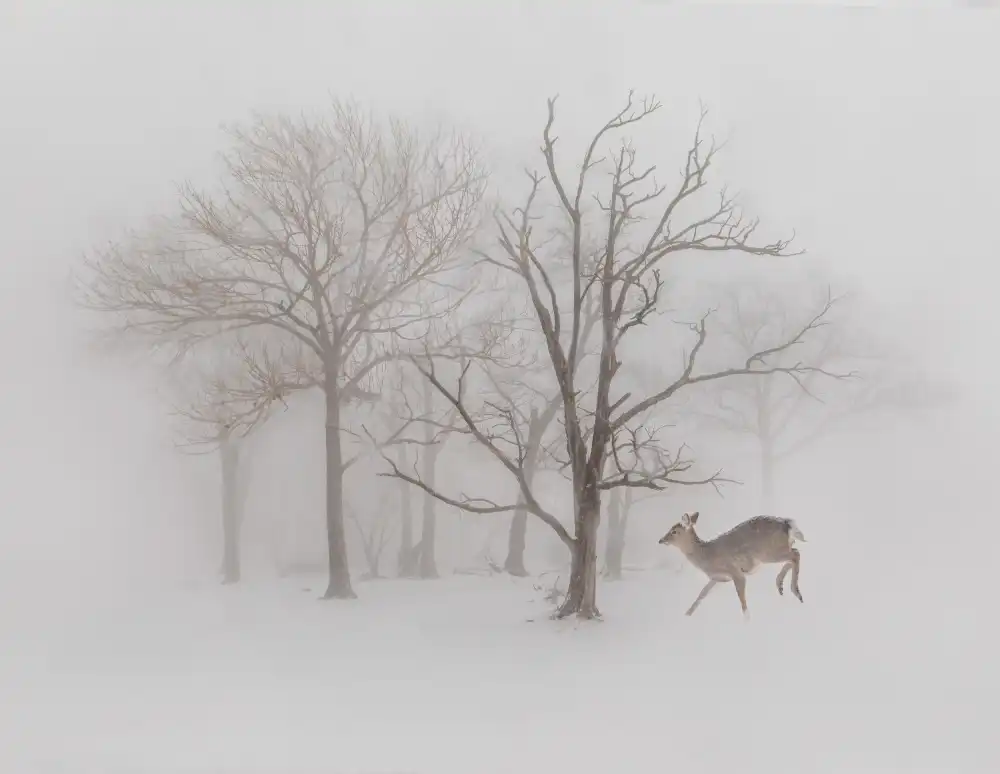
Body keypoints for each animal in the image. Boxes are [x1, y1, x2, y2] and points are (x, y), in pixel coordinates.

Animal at [657, 511, 806, 619]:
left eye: (674, 531)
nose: (661, 540)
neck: (706, 556)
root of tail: (788, 524)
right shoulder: (718, 578)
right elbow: (701, 594)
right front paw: (687, 614)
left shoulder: (735, 571)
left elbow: (742, 600)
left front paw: (747, 619)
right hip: (775, 551)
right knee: (793, 554)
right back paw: (780, 585)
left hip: (769, 552)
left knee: (795, 554)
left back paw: (796, 592)